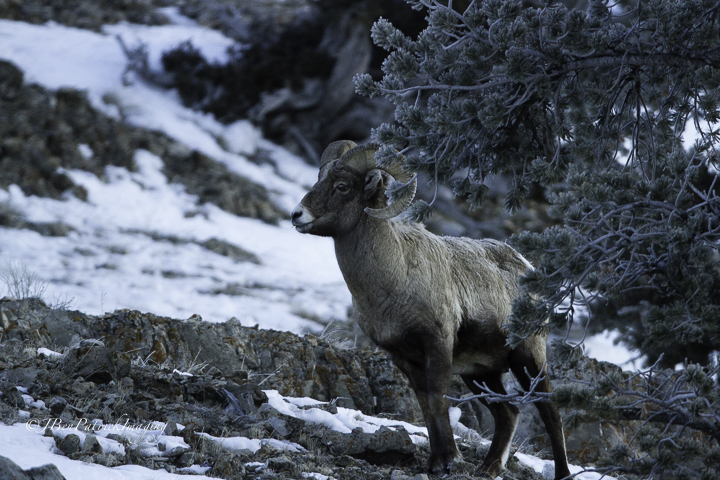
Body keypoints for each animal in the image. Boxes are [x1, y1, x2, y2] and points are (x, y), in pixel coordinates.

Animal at [292, 141, 568, 478]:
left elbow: (437, 401)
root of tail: (528, 268)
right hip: (481, 373)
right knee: (508, 412)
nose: (297, 215)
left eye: (342, 186)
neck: (394, 274)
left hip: (527, 359)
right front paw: (436, 462)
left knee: (550, 412)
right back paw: (488, 468)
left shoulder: (437, 346)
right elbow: (425, 405)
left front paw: (451, 461)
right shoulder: (405, 359)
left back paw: (561, 473)